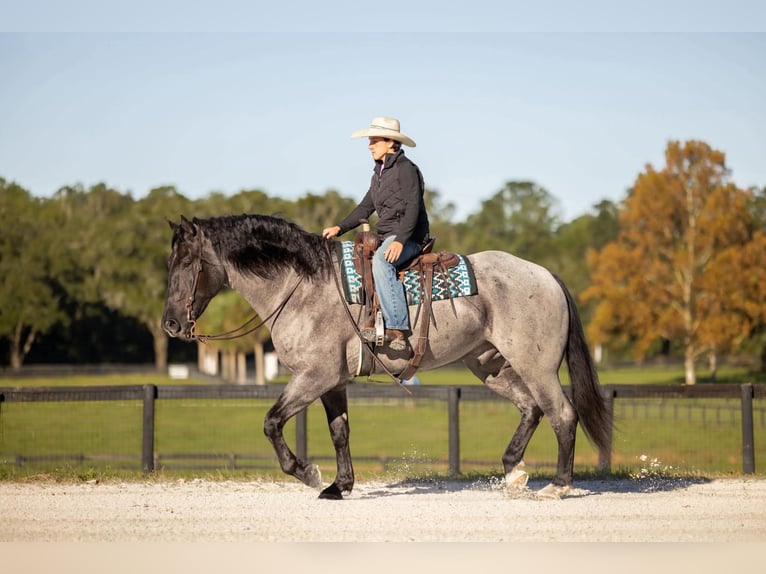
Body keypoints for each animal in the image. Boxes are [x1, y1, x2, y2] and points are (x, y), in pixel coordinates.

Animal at [161, 213, 610, 500]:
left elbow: (272, 423)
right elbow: (339, 433)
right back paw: (514, 471)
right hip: (490, 365)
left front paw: (309, 473)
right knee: (531, 408)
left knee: (561, 414)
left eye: (187, 262)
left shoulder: (313, 376)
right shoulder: (332, 382)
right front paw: (339, 485)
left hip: (537, 366)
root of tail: (545, 274)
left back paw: (558, 485)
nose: (169, 324)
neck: (304, 286)